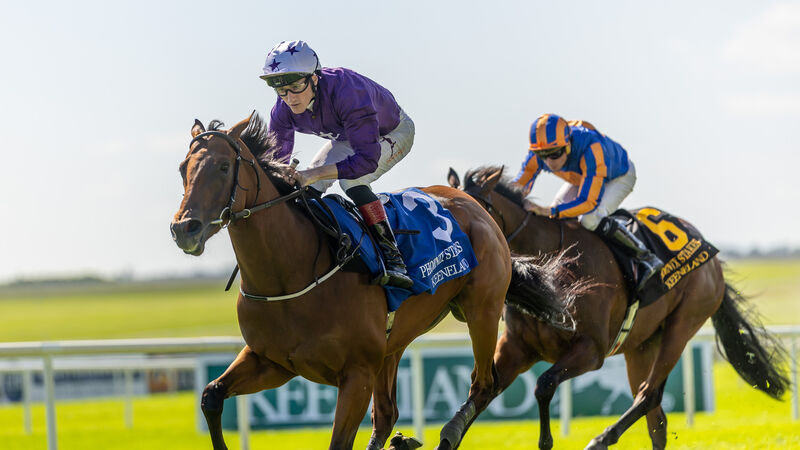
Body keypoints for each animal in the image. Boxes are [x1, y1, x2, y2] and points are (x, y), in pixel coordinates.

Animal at [169, 113, 574, 450]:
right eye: (182, 168)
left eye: (223, 166)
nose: (184, 228)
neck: (289, 276)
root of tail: (472, 204)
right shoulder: (272, 362)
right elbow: (211, 395)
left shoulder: (356, 373)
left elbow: (339, 442)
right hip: (394, 343)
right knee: (388, 416)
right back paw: (403, 441)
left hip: (482, 311)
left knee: (485, 383)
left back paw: (448, 433)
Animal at [446, 166, 790, 450]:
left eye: (474, 214)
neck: (553, 264)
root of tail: (713, 258)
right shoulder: (517, 348)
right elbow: (482, 390)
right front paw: (448, 436)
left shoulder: (592, 350)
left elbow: (544, 385)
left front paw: (546, 442)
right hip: (641, 346)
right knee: (656, 419)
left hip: (682, 324)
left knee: (649, 394)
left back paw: (601, 439)